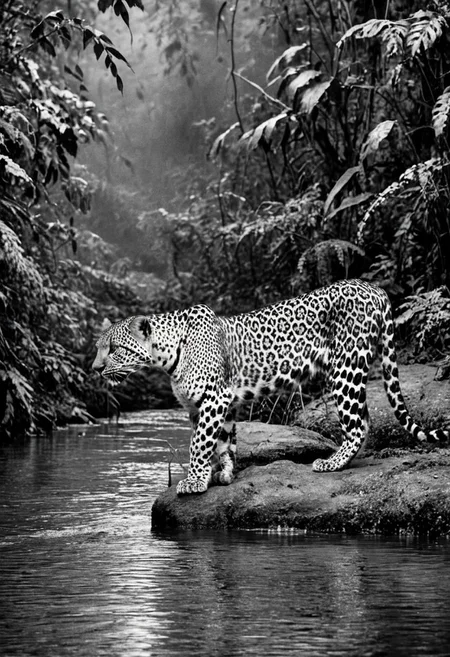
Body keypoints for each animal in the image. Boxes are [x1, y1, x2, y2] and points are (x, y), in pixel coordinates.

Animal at [92, 279, 448, 495]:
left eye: (114, 349)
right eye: (98, 348)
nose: (95, 369)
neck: (166, 354)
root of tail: (374, 289)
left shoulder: (212, 399)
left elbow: (198, 445)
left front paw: (194, 481)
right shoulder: (220, 404)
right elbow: (223, 441)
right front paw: (223, 474)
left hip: (345, 367)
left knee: (359, 423)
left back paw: (332, 463)